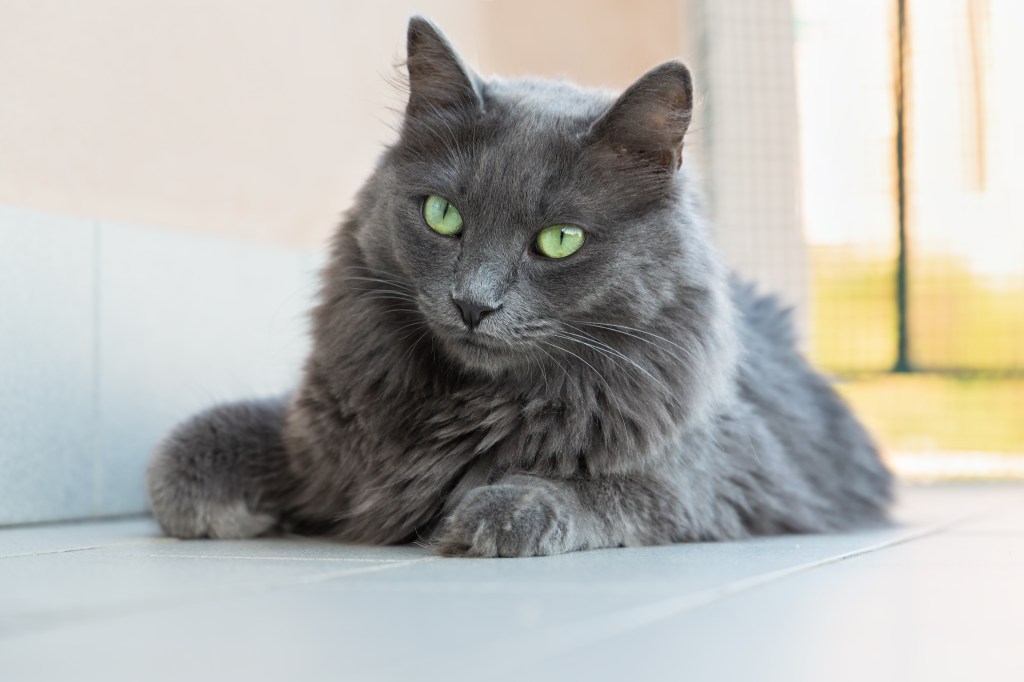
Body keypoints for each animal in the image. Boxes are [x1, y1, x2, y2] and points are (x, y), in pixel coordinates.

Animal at [148, 15, 892, 557]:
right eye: (442, 215)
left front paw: (499, 510)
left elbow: (602, 489)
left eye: (560, 240)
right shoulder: (314, 432)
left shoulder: (720, 477)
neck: (462, 407)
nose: (473, 303)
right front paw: (227, 509)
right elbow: (181, 453)